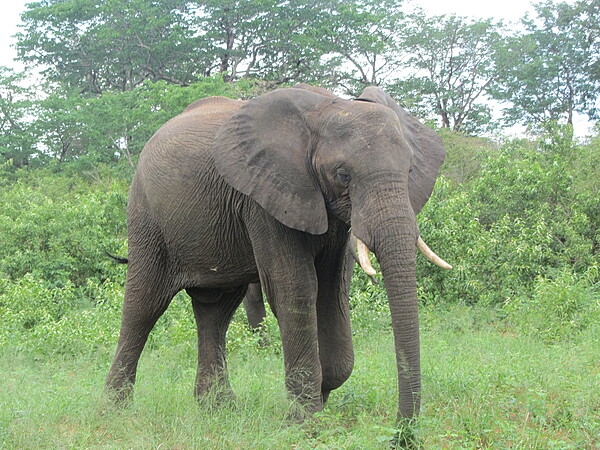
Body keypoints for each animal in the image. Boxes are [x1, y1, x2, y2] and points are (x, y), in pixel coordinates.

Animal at [105, 84, 448, 426]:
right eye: (342, 175)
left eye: (409, 170)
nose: (402, 431)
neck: (327, 107)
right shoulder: (265, 195)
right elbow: (296, 287)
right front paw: (304, 419)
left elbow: (333, 289)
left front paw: (321, 395)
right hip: (148, 217)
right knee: (144, 304)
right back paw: (116, 410)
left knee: (216, 310)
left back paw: (220, 408)